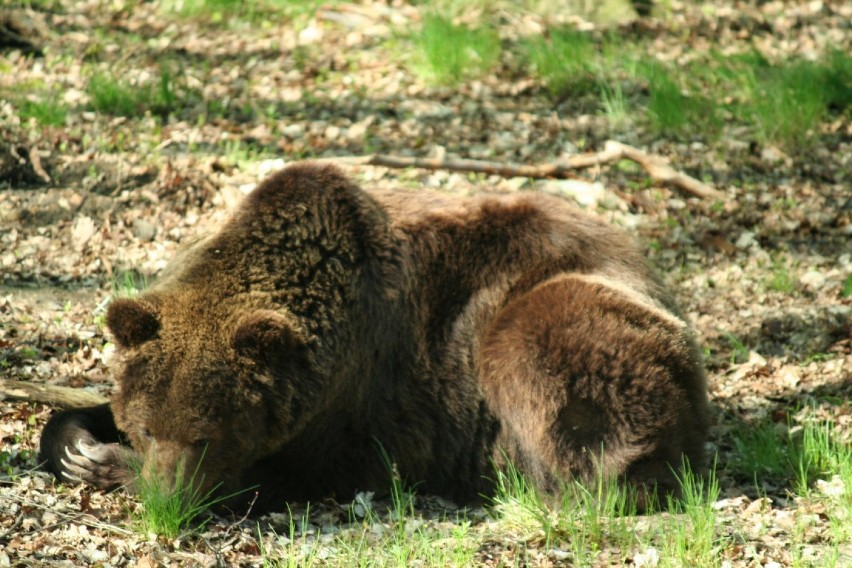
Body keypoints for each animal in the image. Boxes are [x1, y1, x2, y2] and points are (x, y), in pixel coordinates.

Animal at [38, 162, 704, 512]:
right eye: (148, 426)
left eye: (206, 436)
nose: (168, 499)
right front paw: (78, 445)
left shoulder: (377, 402)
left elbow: (298, 473)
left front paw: (112, 464)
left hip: (558, 309)